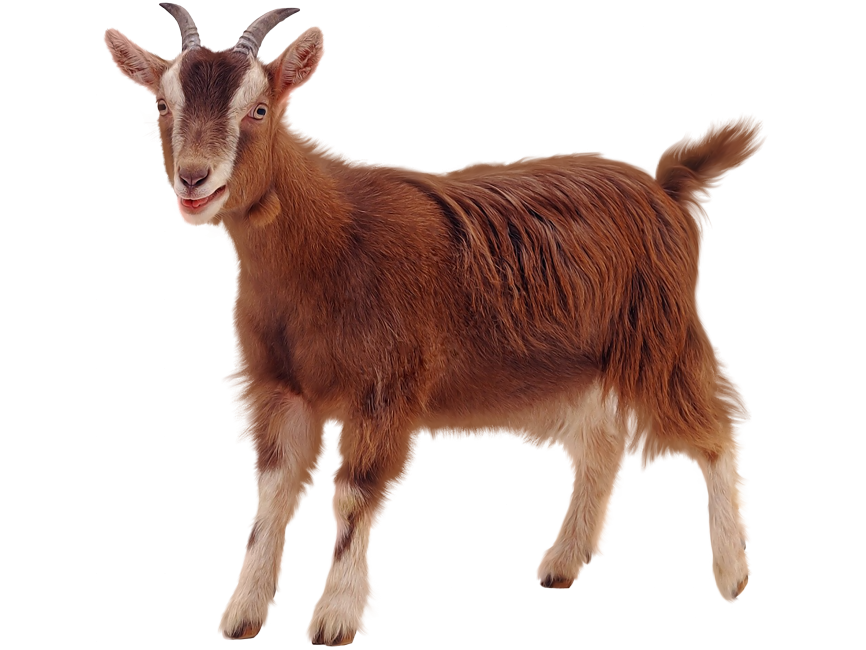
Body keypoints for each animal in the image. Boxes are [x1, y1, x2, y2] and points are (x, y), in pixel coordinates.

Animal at [103, 4, 766, 645]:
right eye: (163, 104)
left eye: (260, 110)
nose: (194, 179)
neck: (328, 245)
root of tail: (664, 189)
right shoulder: (275, 387)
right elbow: (271, 499)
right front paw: (242, 615)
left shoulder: (385, 385)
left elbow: (354, 494)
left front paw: (334, 620)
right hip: (584, 362)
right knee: (599, 447)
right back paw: (562, 564)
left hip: (659, 338)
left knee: (716, 428)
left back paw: (732, 575)